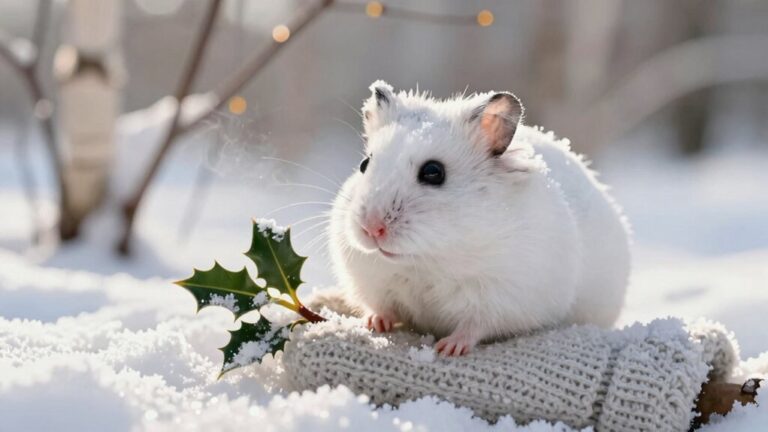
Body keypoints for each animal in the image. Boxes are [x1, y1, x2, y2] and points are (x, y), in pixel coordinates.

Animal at [328, 80, 630, 356]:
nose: (371, 229)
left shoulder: (503, 298)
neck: (428, 260)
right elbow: (383, 307)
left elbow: (476, 325)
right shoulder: (373, 282)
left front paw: (449, 348)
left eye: (433, 172)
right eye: (364, 165)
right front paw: (374, 324)